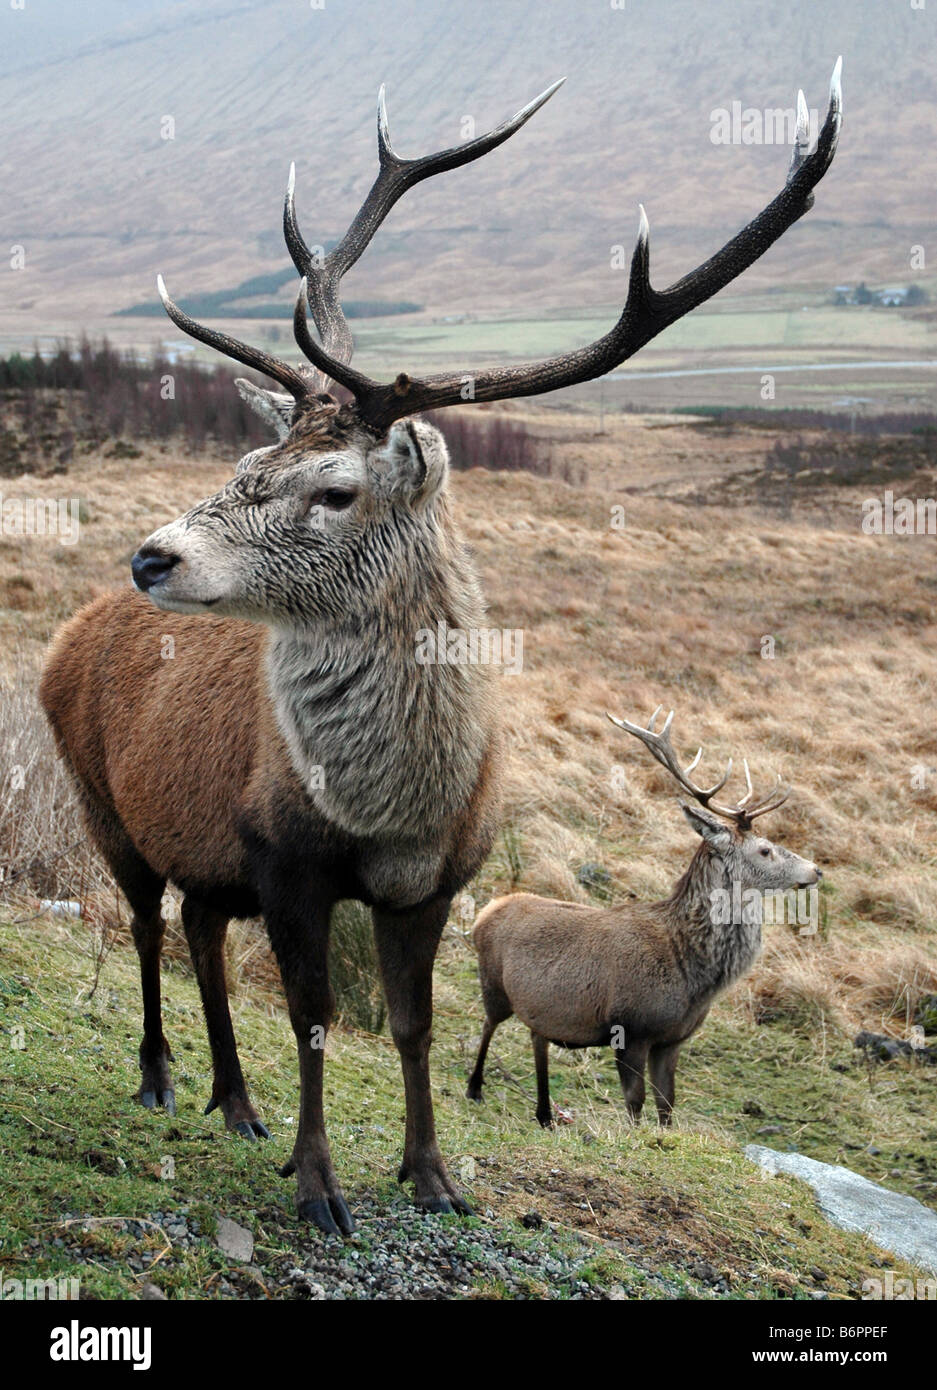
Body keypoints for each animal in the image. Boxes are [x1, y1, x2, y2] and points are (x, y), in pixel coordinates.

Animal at [467, 707, 822, 1128]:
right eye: (765, 850)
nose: (816, 870)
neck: (691, 973)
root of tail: (486, 912)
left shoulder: (672, 1039)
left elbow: (667, 1105)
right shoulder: (631, 1028)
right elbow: (634, 1103)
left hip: (538, 1006)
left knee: (537, 1036)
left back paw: (544, 1114)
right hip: (493, 984)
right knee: (488, 1023)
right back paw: (474, 1089)